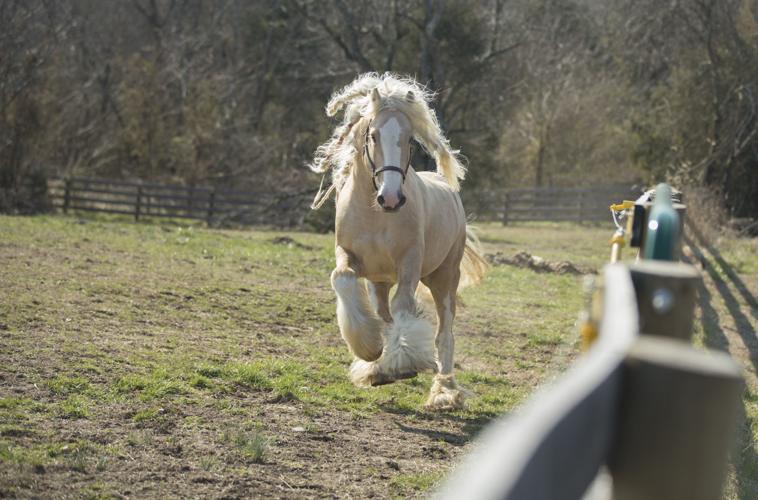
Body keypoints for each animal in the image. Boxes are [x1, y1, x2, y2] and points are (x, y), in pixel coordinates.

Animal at [309, 73, 487, 410]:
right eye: (373, 135)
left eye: (408, 139)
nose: (390, 198)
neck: (375, 214)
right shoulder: (350, 256)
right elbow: (342, 279)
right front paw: (369, 352)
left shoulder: (410, 262)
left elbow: (403, 306)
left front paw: (403, 363)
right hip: (379, 281)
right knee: (385, 315)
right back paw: (380, 367)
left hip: (444, 277)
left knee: (444, 334)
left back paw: (444, 392)